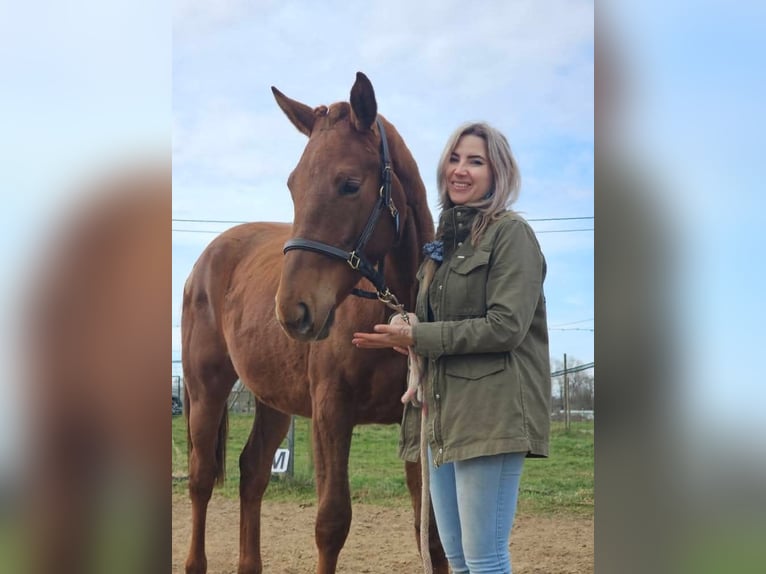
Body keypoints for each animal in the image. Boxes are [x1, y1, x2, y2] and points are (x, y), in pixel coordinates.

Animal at [182, 72, 447, 574]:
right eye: (293, 185)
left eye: (350, 184)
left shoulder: (417, 422)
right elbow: (331, 522)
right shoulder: (330, 412)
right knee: (201, 479)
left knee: (252, 473)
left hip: (272, 400)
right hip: (205, 391)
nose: (293, 311)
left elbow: (433, 533)